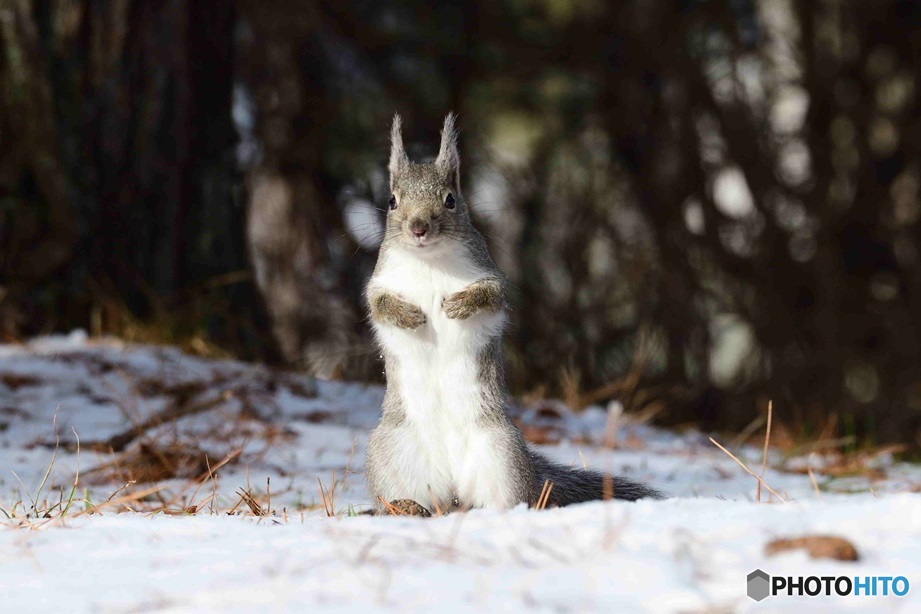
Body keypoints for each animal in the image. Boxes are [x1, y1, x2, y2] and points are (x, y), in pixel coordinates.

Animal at [362, 112, 660, 516]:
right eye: (392, 201)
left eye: (451, 200)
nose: (419, 228)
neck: (430, 261)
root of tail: (452, 485)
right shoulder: (380, 281)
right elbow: (379, 305)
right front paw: (408, 315)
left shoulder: (490, 276)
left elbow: (490, 296)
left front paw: (457, 305)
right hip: (393, 452)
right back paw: (405, 508)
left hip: (500, 452)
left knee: (506, 495)